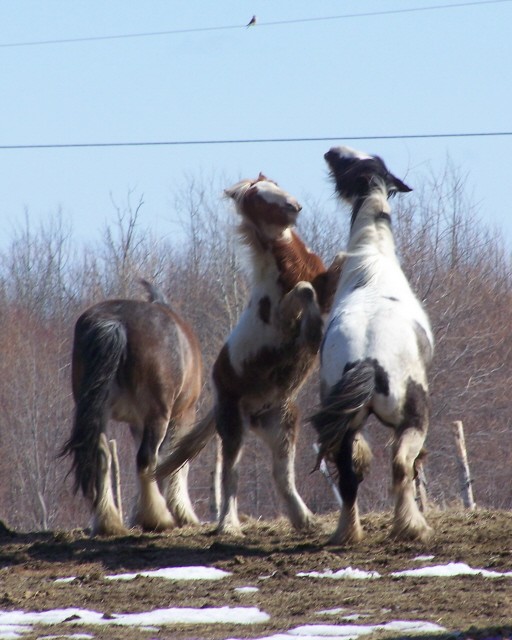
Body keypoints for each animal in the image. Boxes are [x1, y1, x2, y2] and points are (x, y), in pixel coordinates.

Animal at [60, 280, 202, 536]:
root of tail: (116, 323)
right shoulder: (184, 415)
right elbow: (177, 462)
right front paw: (182, 513)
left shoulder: (137, 423)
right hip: (158, 415)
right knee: (145, 459)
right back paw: (156, 518)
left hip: (99, 414)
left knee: (102, 457)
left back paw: (108, 522)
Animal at [158, 175, 344, 536]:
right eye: (258, 196)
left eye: (276, 184)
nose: (295, 207)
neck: (286, 266)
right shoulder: (284, 314)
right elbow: (304, 292)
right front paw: (314, 333)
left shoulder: (326, 286)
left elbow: (337, 264)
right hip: (233, 427)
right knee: (230, 474)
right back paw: (228, 525)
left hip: (281, 426)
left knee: (281, 476)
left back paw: (306, 521)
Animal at [314, 146, 434, 544]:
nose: (332, 152)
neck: (372, 262)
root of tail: (367, 359)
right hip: (413, 417)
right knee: (401, 465)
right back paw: (412, 527)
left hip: (344, 424)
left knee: (348, 477)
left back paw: (347, 533)